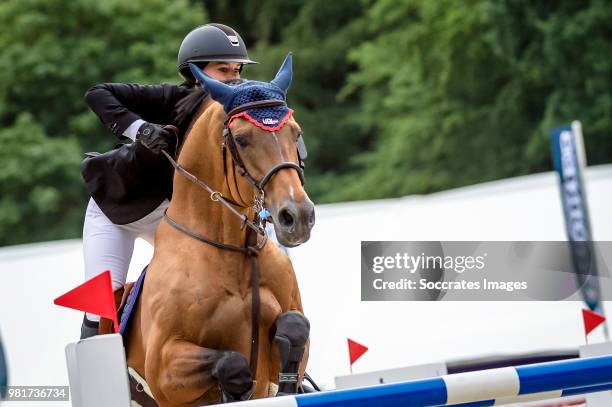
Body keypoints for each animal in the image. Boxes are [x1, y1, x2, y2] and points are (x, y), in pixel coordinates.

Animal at [122, 55, 318, 407]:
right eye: (241, 140)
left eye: (295, 133)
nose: (297, 217)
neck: (234, 250)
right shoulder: (164, 368)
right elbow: (231, 363)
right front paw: (235, 390)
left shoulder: (289, 326)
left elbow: (296, 328)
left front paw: (284, 387)